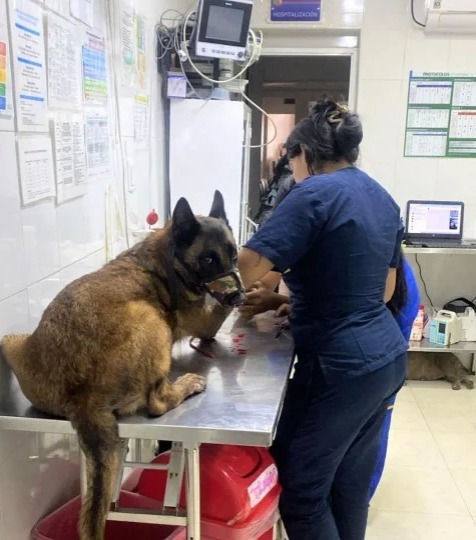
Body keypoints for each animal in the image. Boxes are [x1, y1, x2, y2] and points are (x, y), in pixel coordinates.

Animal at [0, 191, 244, 540]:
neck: (166, 257)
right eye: (209, 260)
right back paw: (185, 384)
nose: (237, 297)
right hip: (153, 320)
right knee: (158, 402)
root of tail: (83, 396)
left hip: (12, 341)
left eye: (234, 255)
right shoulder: (206, 321)